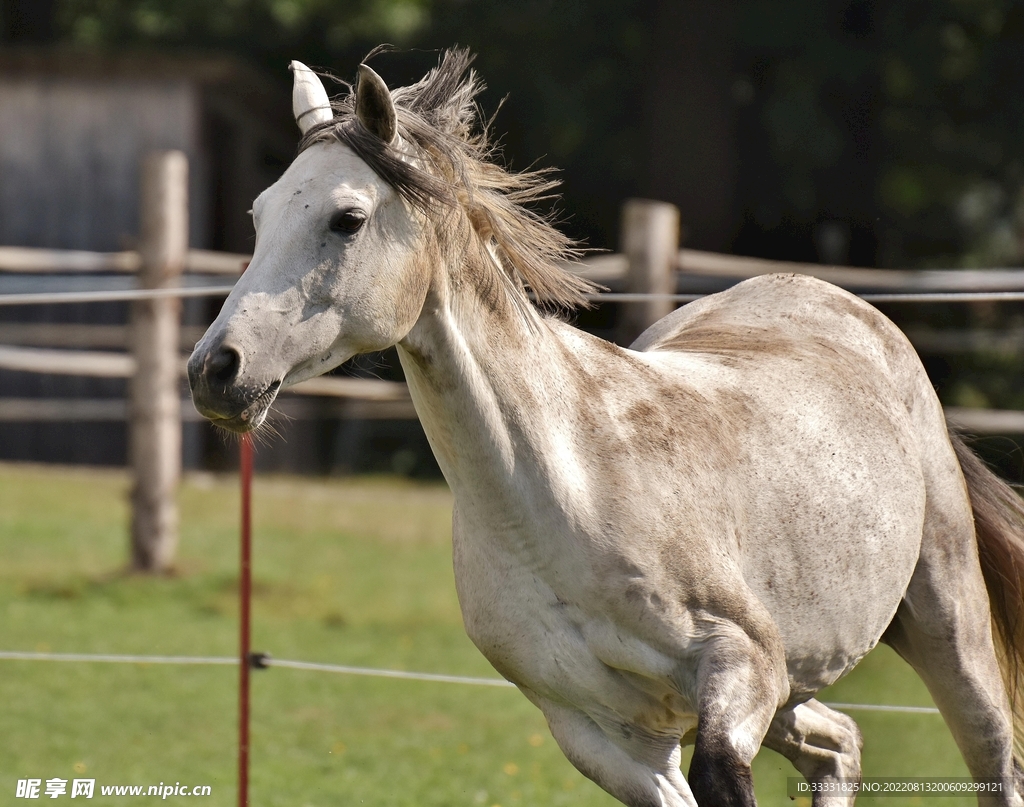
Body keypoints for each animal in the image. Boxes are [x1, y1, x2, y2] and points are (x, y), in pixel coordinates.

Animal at [188, 49, 1024, 807]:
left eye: (348, 218)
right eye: (260, 215)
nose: (215, 369)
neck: (564, 491)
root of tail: (838, 301)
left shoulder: (743, 665)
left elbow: (723, 776)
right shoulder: (605, 734)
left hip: (942, 623)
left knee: (994, 756)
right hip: (797, 686)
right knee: (840, 744)